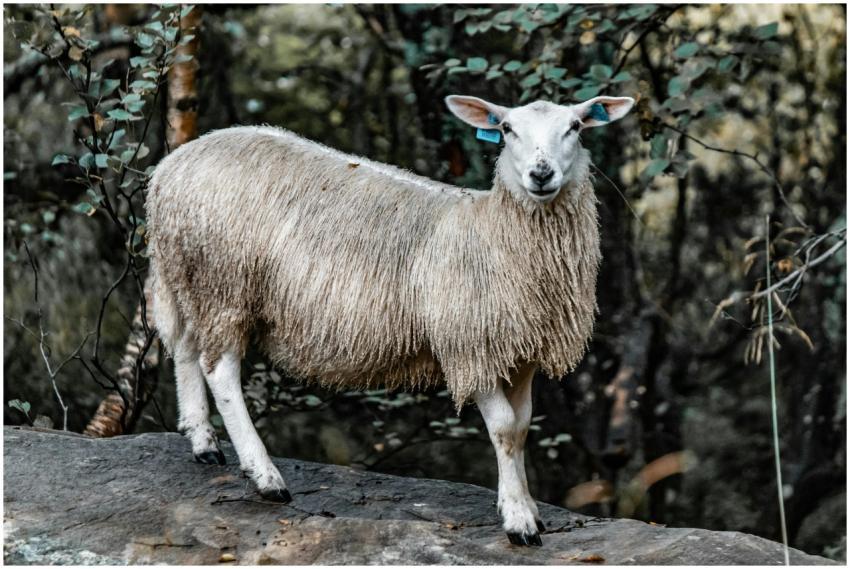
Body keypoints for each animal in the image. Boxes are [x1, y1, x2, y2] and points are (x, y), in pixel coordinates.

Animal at [146, 93, 634, 547]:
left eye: (575, 127)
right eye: (507, 129)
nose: (541, 174)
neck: (493, 231)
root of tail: (171, 167)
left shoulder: (521, 353)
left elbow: (521, 427)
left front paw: (525, 506)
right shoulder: (468, 345)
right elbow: (503, 430)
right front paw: (518, 520)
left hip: (189, 274)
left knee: (185, 348)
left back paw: (203, 442)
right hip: (224, 281)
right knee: (220, 370)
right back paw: (265, 475)